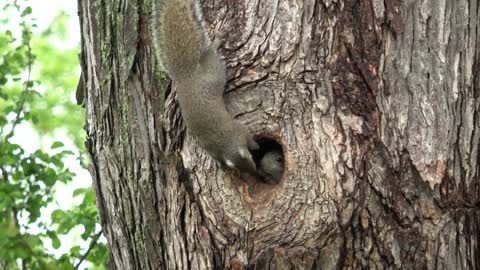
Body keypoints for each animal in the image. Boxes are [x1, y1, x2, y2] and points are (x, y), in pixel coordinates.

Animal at [152, 0, 260, 177]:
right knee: (211, 52)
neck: (224, 142)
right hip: (214, 70)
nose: (254, 171)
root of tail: (186, 74)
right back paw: (217, 41)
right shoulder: (238, 130)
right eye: (248, 162)